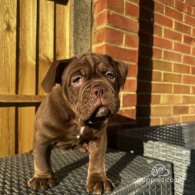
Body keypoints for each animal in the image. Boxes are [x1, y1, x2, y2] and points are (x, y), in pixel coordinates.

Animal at [27, 52, 128, 194]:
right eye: (76, 80)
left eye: (110, 76)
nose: (100, 88)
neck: (77, 118)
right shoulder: (43, 138)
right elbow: (41, 159)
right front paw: (42, 178)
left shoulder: (98, 138)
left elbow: (97, 160)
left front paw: (98, 180)